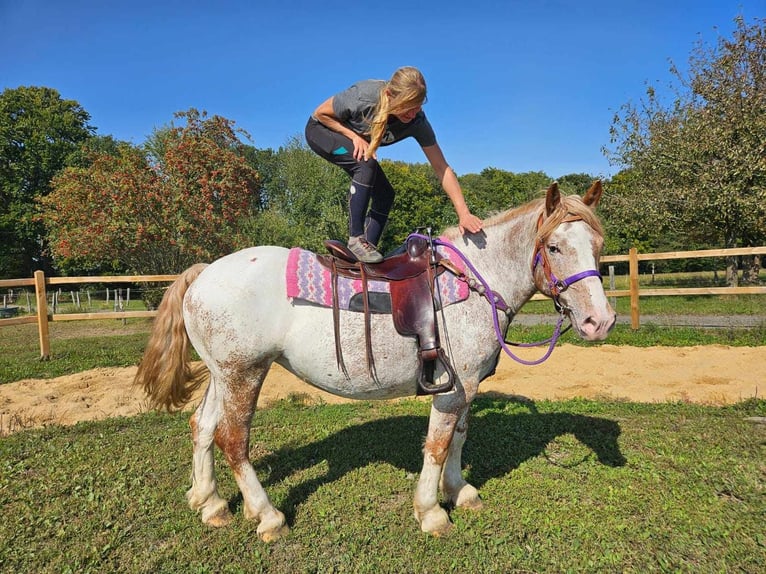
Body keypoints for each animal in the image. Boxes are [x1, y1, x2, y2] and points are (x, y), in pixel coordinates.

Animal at [135, 181, 616, 544]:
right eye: (554, 246)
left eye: (598, 244)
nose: (600, 322)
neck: (475, 283)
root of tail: (205, 272)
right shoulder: (453, 388)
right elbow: (438, 445)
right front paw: (431, 512)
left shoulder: (469, 387)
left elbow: (459, 439)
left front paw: (460, 492)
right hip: (244, 374)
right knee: (233, 440)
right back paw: (267, 516)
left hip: (222, 375)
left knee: (202, 426)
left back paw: (210, 503)